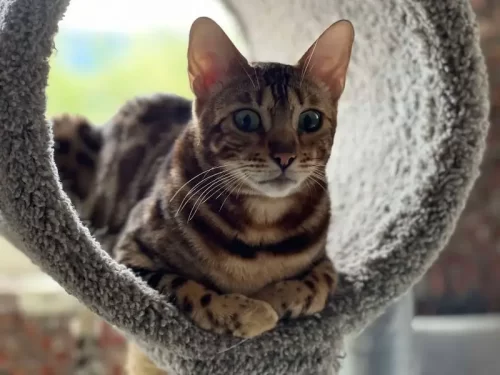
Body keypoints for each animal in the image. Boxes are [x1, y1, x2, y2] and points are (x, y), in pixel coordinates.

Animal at [51, 16, 356, 375]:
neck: (261, 229)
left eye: (310, 119)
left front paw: (273, 298)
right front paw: (250, 313)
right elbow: (186, 287)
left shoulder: (325, 262)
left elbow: (317, 286)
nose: (285, 157)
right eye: (246, 118)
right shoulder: (128, 254)